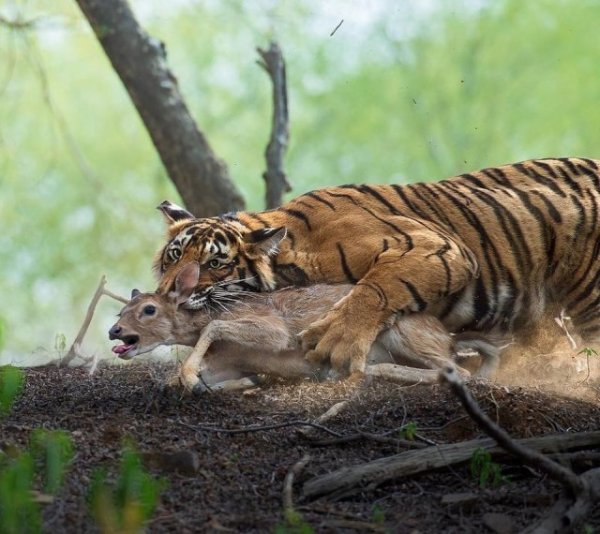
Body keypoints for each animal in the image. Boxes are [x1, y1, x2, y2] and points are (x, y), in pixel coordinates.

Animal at [106, 262, 502, 396]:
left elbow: (215, 326)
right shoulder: (226, 363)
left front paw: (187, 376)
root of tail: (448, 336)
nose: (113, 331)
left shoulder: (273, 331)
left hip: (403, 333)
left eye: (148, 309)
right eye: (122, 309)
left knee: (458, 371)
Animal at [152, 158, 600, 376]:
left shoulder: (433, 245)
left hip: (589, 297)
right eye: (175, 256)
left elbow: (377, 287)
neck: (291, 259)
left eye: (215, 263)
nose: (172, 291)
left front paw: (336, 342)